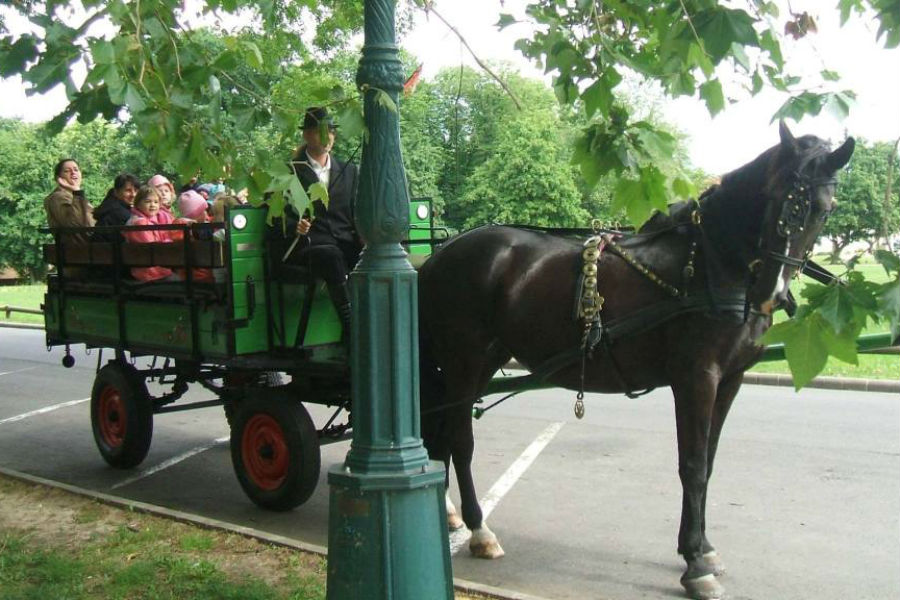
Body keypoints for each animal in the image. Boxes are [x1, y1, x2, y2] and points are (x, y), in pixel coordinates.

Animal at [418, 122, 856, 600]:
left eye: (823, 211)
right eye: (777, 197)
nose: (770, 292)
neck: (711, 262)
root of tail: (439, 253)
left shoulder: (731, 379)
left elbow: (710, 461)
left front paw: (704, 548)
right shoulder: (696, 377)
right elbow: (693, 465)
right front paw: (694, 563)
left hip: (480, 361)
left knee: (442, 436)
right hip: (462, 359)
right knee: (459, 440)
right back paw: (479, 529)